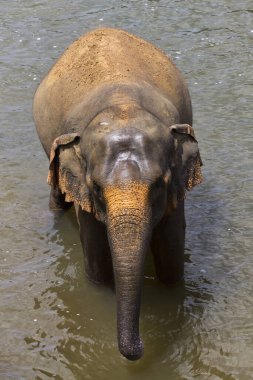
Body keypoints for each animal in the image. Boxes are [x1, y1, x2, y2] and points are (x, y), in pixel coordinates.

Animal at [33, 26, 204, 360]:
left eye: (160, 184)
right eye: (97, 188)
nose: (140, 348)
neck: (122, 108)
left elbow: (171, 251)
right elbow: (97, 259)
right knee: (57, 195)